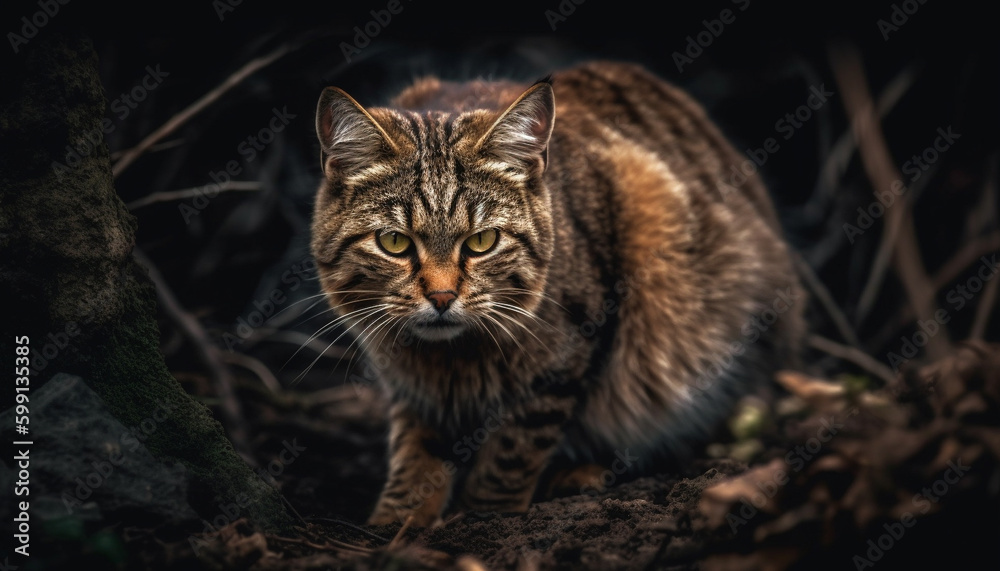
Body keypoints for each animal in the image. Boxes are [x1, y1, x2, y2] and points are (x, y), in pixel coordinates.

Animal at [310, 60, 804, 524]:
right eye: (394, 242)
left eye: (482, 241)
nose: (442, 297)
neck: (450, 359)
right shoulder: (413, 388)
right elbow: (417, 452)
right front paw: (398, 524)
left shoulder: (565, 357)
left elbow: (513, 452)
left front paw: (486, 517)